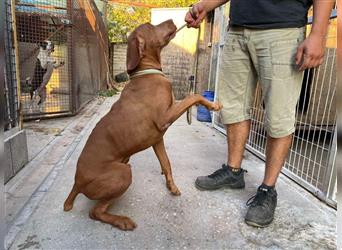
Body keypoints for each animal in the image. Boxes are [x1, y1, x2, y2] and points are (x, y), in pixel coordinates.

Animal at [63, 19, 222, 230]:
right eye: (151, 25)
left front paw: (171, 187)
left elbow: (167, 164)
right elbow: (193, 97)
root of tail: (76, 183)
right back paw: (122, 221)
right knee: (95, 212)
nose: (172, 20)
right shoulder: (164, 118)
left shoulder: (157, 139)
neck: (147, 72)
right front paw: (213, 105)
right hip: (123, 172)